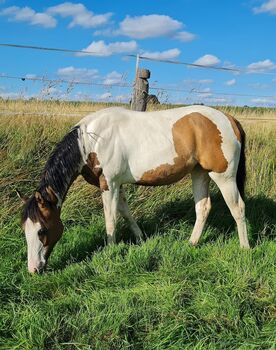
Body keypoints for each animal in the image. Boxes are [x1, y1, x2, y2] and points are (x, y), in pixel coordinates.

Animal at [17, 105, 250, 274]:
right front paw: (140, 239)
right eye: (24, 229)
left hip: (223, 176)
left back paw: (245, 247)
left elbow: (111, 219)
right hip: (200, 173)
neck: (92, 140)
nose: (33, 269)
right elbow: (126, 213)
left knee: (238, 208)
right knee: (203, 208)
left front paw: (110, 250)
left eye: (41, 230)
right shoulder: (117, 185)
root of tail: (229, 119)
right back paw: (191, 243)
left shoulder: (109, 184)